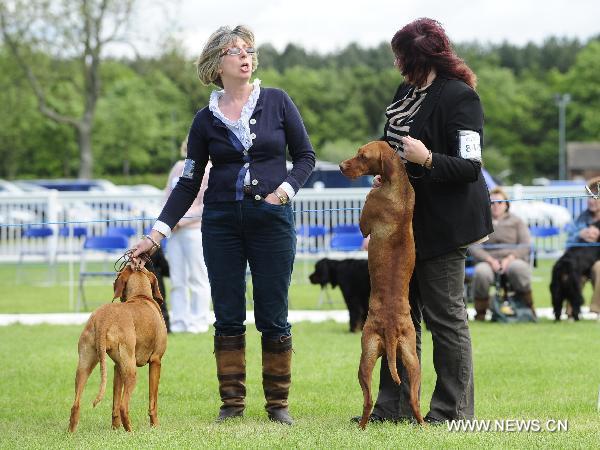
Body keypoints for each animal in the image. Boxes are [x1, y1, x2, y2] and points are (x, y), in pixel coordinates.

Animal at [67, 264, 166, 432]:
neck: (140, 296)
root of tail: (103, 320)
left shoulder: (117, 367)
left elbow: (114, 401)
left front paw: (115, 428)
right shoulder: (156, 361)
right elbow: (152, 401)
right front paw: (155, 426)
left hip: (85, 365)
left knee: (76, 405)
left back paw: (71, 433)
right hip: (131, 371)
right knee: (123, 406)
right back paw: (131, 432)